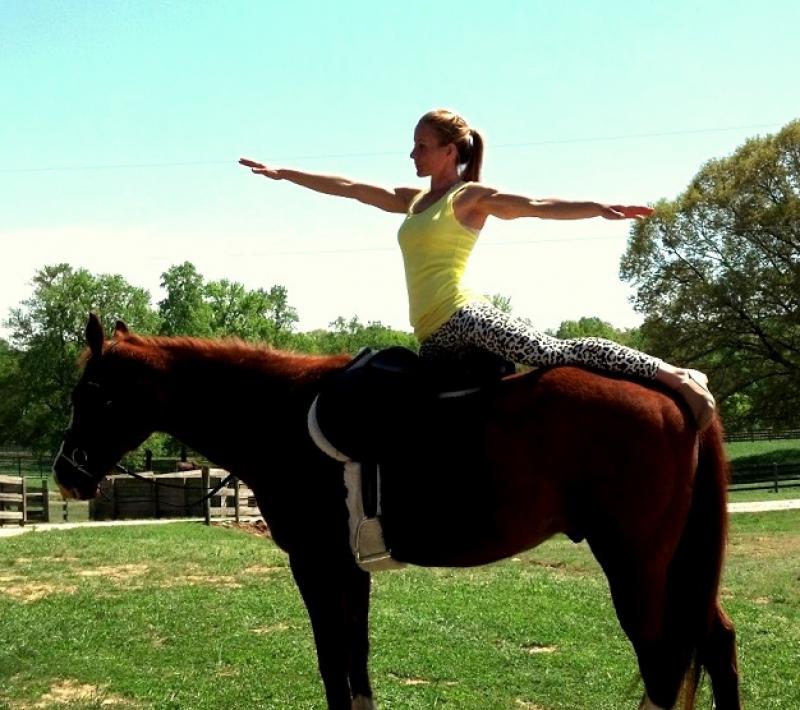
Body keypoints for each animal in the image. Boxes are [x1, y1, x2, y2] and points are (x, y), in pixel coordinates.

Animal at [53, 318, 740, 710]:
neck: (280, 416)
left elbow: (335, 671)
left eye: (92, 392)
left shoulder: (317, 569)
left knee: (664, 664)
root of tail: (680, 399)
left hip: (634, 566)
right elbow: (355, 671)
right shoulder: (348, 574)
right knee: (715, 642)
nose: (65, 474)